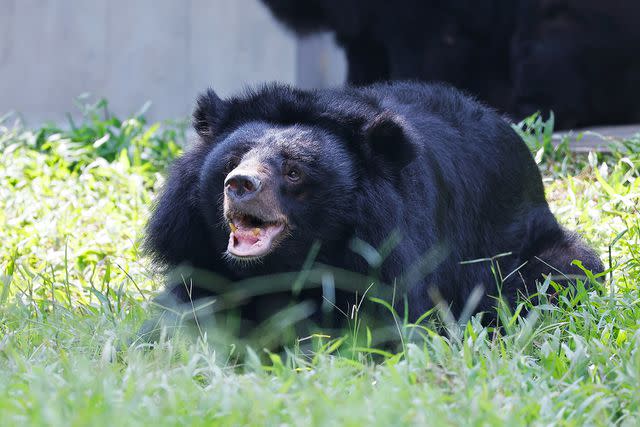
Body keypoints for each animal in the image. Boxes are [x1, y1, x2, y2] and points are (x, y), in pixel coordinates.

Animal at [146, 81, 604, 332]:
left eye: (293, 172)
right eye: (233, 160)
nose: (240, 184)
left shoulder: (392, 253)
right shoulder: (196, 250)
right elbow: (185, 310)